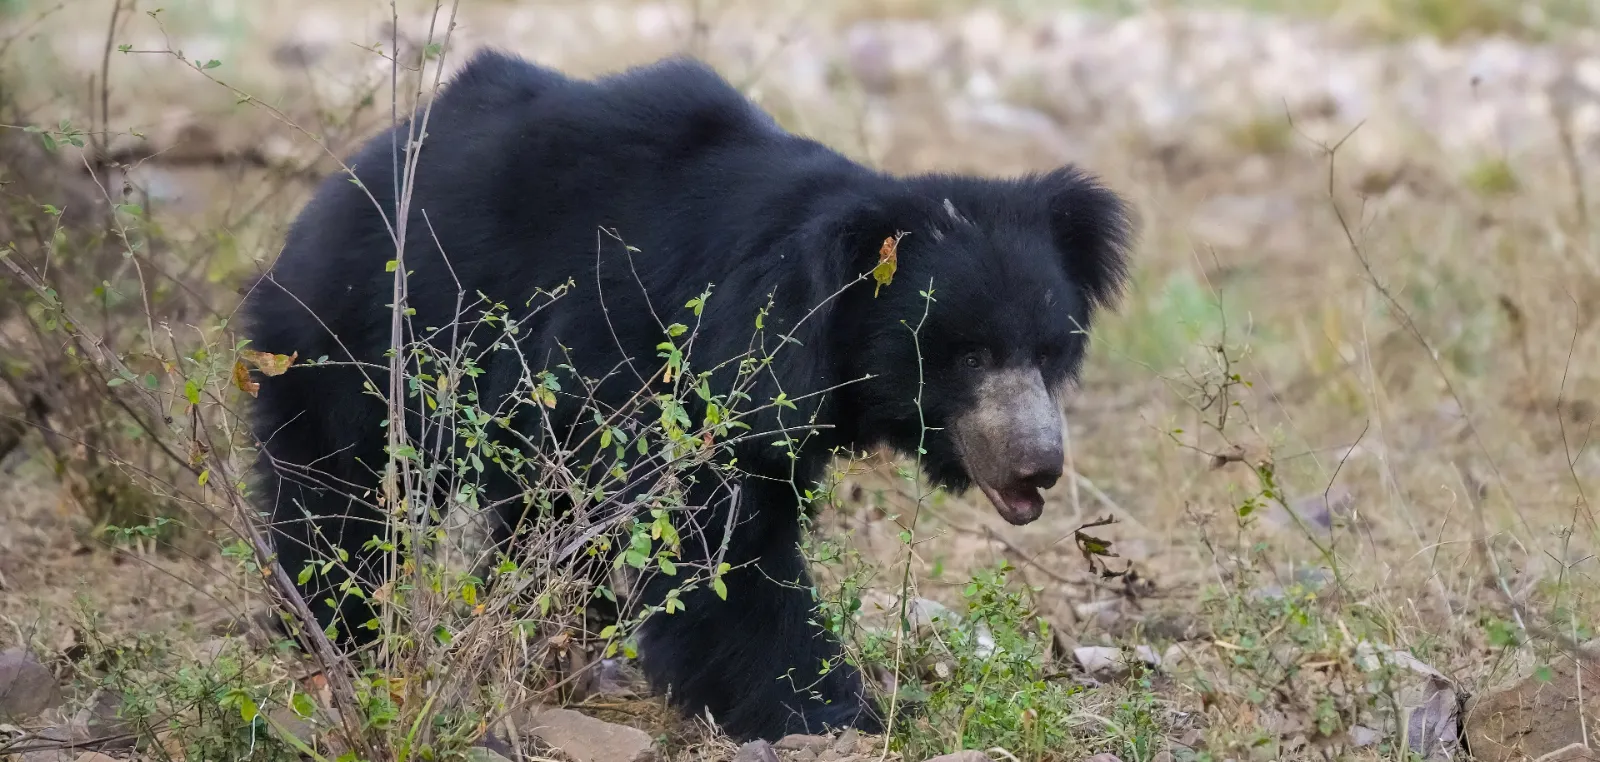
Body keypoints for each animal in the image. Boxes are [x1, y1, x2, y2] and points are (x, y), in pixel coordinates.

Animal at [239, 49, 1134, 742]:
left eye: (1049, 351)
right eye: (970, 354)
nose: (1039, 465)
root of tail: (344, 182)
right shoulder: (667, 368)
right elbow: (716, 545)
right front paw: (829, 713)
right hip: (357, 342)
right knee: (343, 495)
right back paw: (343, 630)